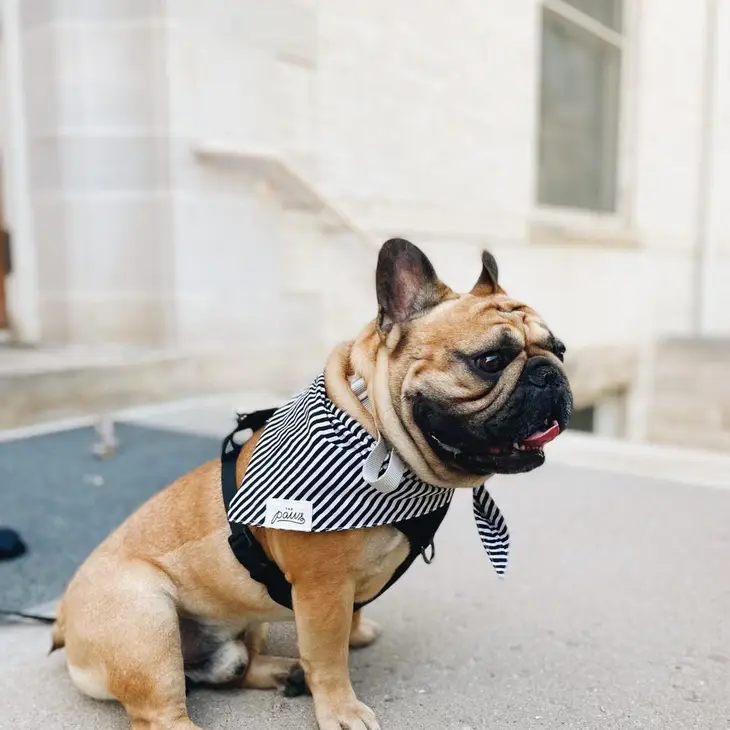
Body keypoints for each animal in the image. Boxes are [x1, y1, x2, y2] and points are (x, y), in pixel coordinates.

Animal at [51, 239, 572, 728]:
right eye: (491, 360)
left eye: (561, 350)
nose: (551, 374)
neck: (378, 434)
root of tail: (59, 622)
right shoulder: (322, 589)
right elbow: (327, 656)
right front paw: (341, 709)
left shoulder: (338, 591)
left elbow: (348, 621)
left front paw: (356, 635)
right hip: (146, 624)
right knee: (161, 714)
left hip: (243, 625)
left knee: (234, 670)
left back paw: (283, 671)